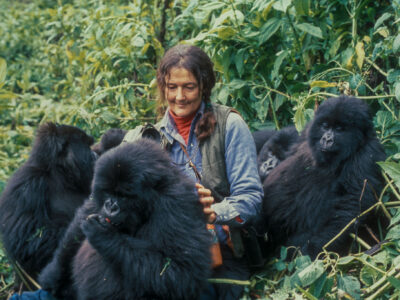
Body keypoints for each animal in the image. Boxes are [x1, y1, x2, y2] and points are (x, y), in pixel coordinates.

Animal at [39, 139, 211, 300]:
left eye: (123, 196)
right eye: (108, 192)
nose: (110, 207)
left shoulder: (177, 204)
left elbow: (180, 273)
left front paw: (104, 235)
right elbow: (77, 228)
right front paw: (53, 275)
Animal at [260, 95, 386, 258]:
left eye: (339, 129)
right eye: (325, 126)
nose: (327, 139)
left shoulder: (368, 154)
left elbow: (351, 204)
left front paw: (312, 248)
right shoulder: (307, 130)